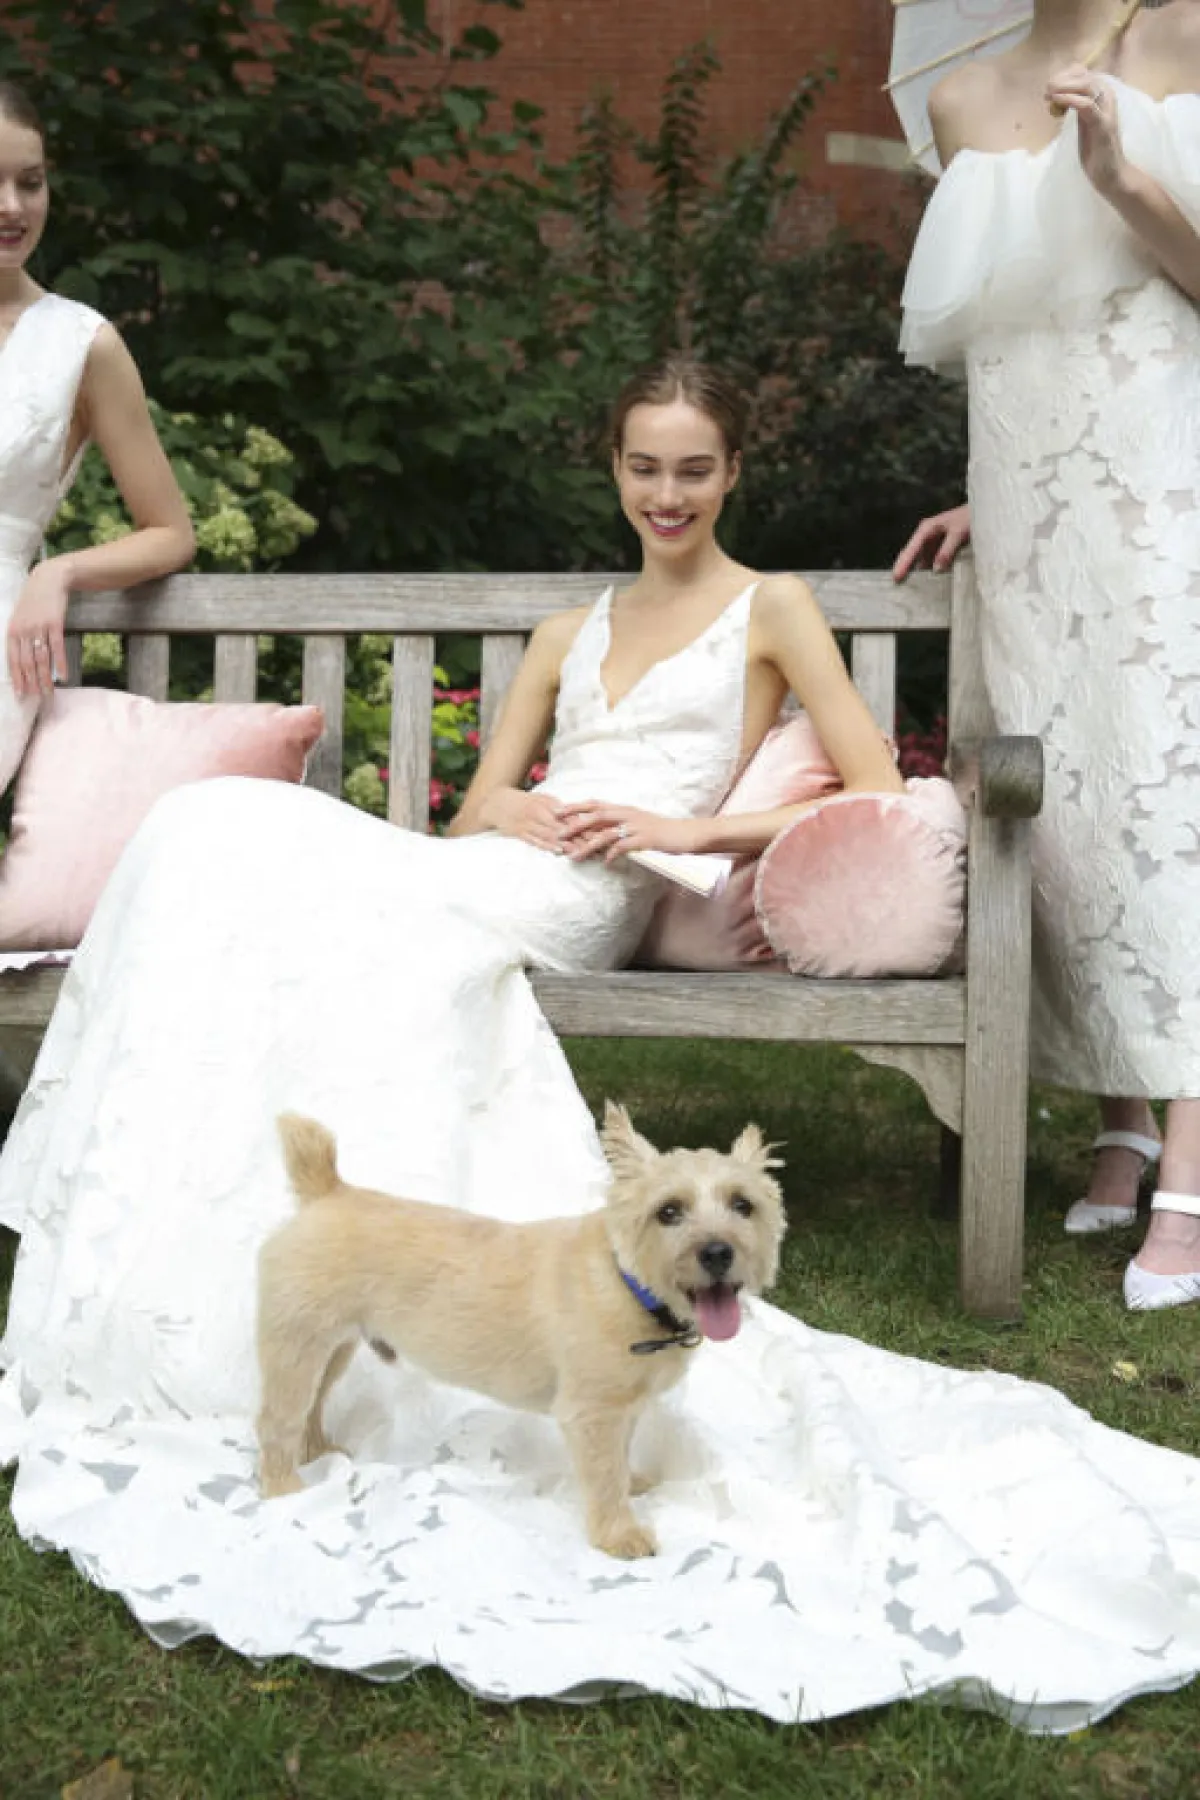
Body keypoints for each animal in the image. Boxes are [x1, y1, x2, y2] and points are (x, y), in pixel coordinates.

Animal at [256, 1102, 785, 1559]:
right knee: (277, 1420)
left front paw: (630, 1481)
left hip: (333, 1347)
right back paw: (283, 1488)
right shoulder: (591, 1411)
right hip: (295, 1344)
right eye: (668, 1211)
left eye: (744, 1205)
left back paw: (317, 1451)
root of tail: (327, 1189)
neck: (628, 1284)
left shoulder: (623, 1407)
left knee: (311, 1405)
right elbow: (603, 1472)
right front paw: (620, 1534)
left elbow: (619, 1456)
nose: (718, 1253)